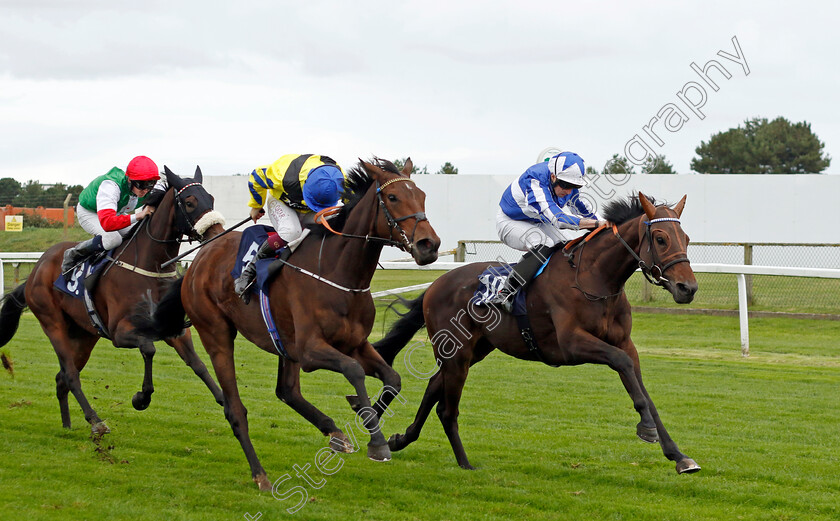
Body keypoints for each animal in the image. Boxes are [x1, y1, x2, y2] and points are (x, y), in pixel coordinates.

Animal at [0, 167, 225, 434]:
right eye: (189, 202)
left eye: (211, 198)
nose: (218, 234)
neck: (151, 265)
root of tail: (37, 269)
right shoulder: (121, 333)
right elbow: (149, 348)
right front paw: (141, 398)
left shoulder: (174, 329)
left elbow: (198, 364)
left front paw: (226, 402)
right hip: (52, 324)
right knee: (71, 374)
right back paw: (95, 421)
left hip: (84, 334)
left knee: (62, 377)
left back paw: (67, 425)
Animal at [131, 157, 440, 488]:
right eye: (393, 197)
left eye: (422, 196)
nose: (429, 245)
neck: (339, 273)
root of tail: (196, 262)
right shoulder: (310, 351)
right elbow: (354, 370)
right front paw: (377, 440)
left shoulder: (354, 343)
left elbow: (393, 379)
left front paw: (363, 413)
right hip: (217, 334)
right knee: (235, 408)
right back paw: (260, 475)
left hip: (284, 344)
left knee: (287, 391)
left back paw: (335, 433)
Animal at [374, 193, 704, 474]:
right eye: (660, 238)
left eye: (686, 239)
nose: (688, 288)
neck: (594, 278)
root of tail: (435, 284)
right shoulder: (572, 344)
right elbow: (621, 364)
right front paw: (646, 428)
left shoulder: (625, 343)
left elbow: (643, 391)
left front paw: (679, 456)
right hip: (457, 352)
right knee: (446, 408)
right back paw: (463, 462)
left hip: (473, 350)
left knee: (433, 387)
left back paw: (400, 439)